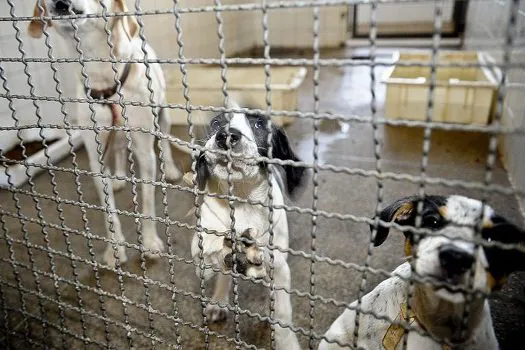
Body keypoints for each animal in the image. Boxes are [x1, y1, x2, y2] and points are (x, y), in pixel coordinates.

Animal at [191, 102, 308, 350]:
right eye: (216, 123)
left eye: (259, 125)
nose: (225, 136)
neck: (243, 200)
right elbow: (211, 258)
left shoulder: (280, 266)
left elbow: (283, 311)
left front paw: (287, 341)